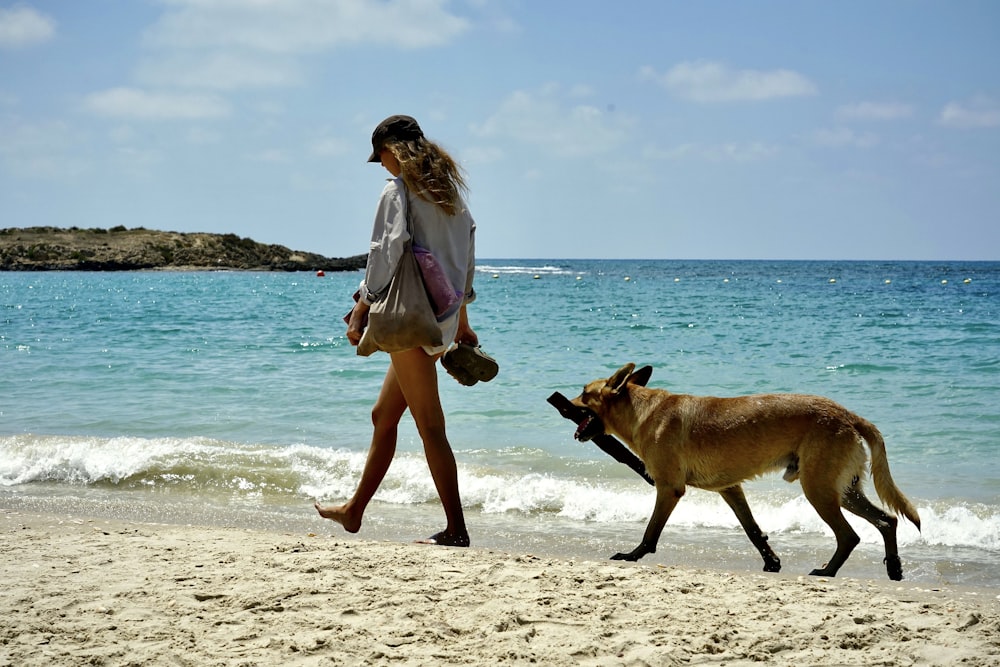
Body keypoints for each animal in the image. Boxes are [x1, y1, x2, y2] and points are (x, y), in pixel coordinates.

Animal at [572, 366, 920, 580]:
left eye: (583, 392)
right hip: (842, 489)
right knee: (887, 520)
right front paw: (771, 561)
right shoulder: (730, 488)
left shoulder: (669, 488)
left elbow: (651, 531)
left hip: (818, 489)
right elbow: (753, 530)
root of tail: (848, 414)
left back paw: (827, 572)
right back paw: (894, 568)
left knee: (850, 535)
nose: (565, 402)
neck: (641, 411)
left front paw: (633, 555)